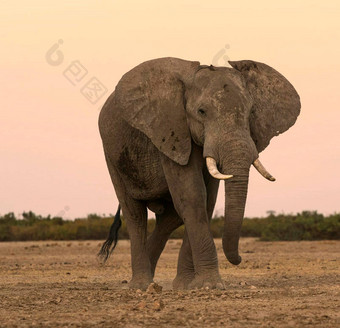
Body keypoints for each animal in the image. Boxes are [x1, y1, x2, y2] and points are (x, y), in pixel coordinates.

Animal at [98, 57, 300, 290]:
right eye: (202, 111)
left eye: (251, 113)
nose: (239, 259)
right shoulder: (171, 132)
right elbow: (193, 196)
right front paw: (209, 285)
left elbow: (207, 200)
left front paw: (186, 286)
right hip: (111, 155)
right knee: (134, 213)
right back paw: (140, 285)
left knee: (170, 218)